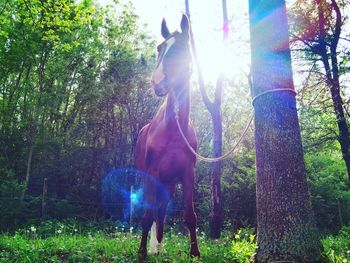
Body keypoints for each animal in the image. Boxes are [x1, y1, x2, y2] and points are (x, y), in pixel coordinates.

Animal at [135, 14, 200, 260]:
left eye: (181, 49)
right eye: (159, 48)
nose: (157, 82)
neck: (174, 128)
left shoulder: (188, 174)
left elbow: (190, 216)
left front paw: (195, 253)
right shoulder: (153, 173)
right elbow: (147, 215)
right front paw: (142, 252)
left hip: (169, 183)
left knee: (161, 212)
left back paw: (160, 246)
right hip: (150, 178)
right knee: (154, 211)